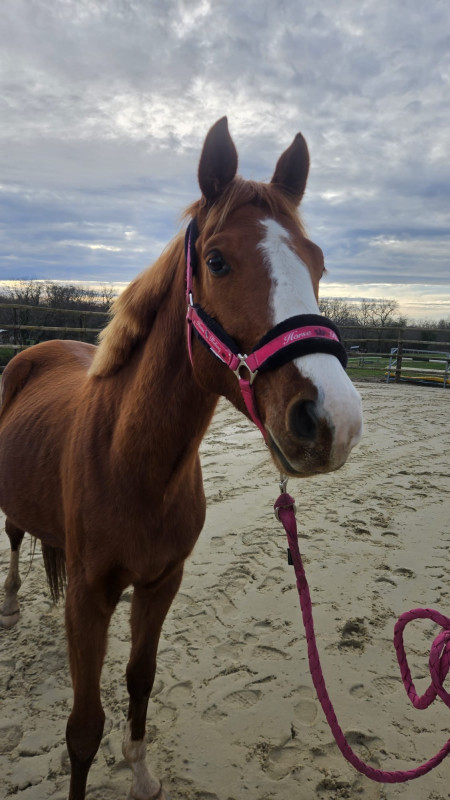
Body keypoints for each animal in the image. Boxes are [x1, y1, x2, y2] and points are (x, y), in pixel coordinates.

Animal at [0, 117, 363, 800]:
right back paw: (8, 603)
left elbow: (140, 678)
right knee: (11, 534)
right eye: (217, 261)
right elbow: (82, 728)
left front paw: (141, 772)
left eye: (319, 262)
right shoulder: (89, 595)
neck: (132, 464)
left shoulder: (162, 582)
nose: (335, 420)